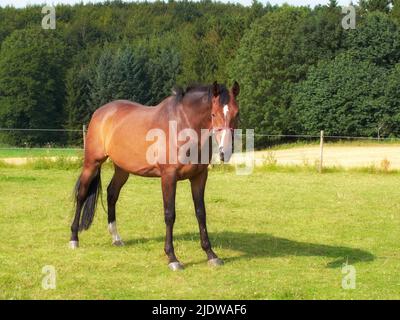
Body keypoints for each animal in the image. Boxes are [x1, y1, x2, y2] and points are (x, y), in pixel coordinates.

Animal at [69, 80, 241, 270]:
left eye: (237, 113)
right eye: (213, 113)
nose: (225, 152)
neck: (183, 125)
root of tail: (101, 112)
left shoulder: (199, 177)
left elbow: (201, 213)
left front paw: (211, 254)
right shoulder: (168, 177)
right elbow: (169, 214)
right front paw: (172, 258)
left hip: (122, 169)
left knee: (111, 194)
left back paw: (116, 238)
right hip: (92, 163)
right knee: (82, 195)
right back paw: (74, 239)